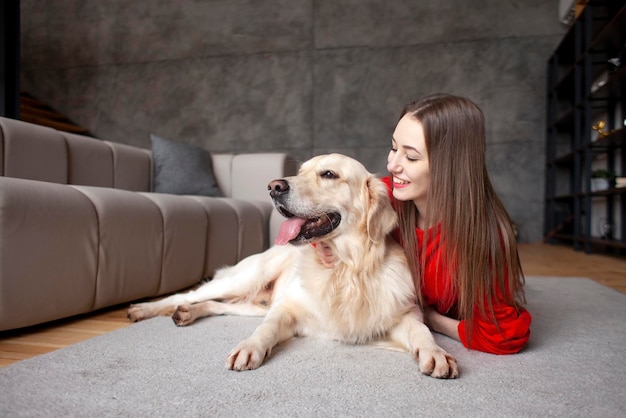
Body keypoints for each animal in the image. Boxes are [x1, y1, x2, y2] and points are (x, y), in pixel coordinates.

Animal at [128, 153, 458, 378]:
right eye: (300, 172)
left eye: (328, 174)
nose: (274, 187)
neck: (346, 269)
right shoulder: (286, 308)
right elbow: (267, 329)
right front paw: (249, 347)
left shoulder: (404, 315)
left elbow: (422, 331)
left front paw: (436, 353)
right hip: (246, 277)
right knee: (187, 294)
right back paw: (145, 308)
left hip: (252, 301)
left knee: (218, 304)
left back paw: (188, 313)